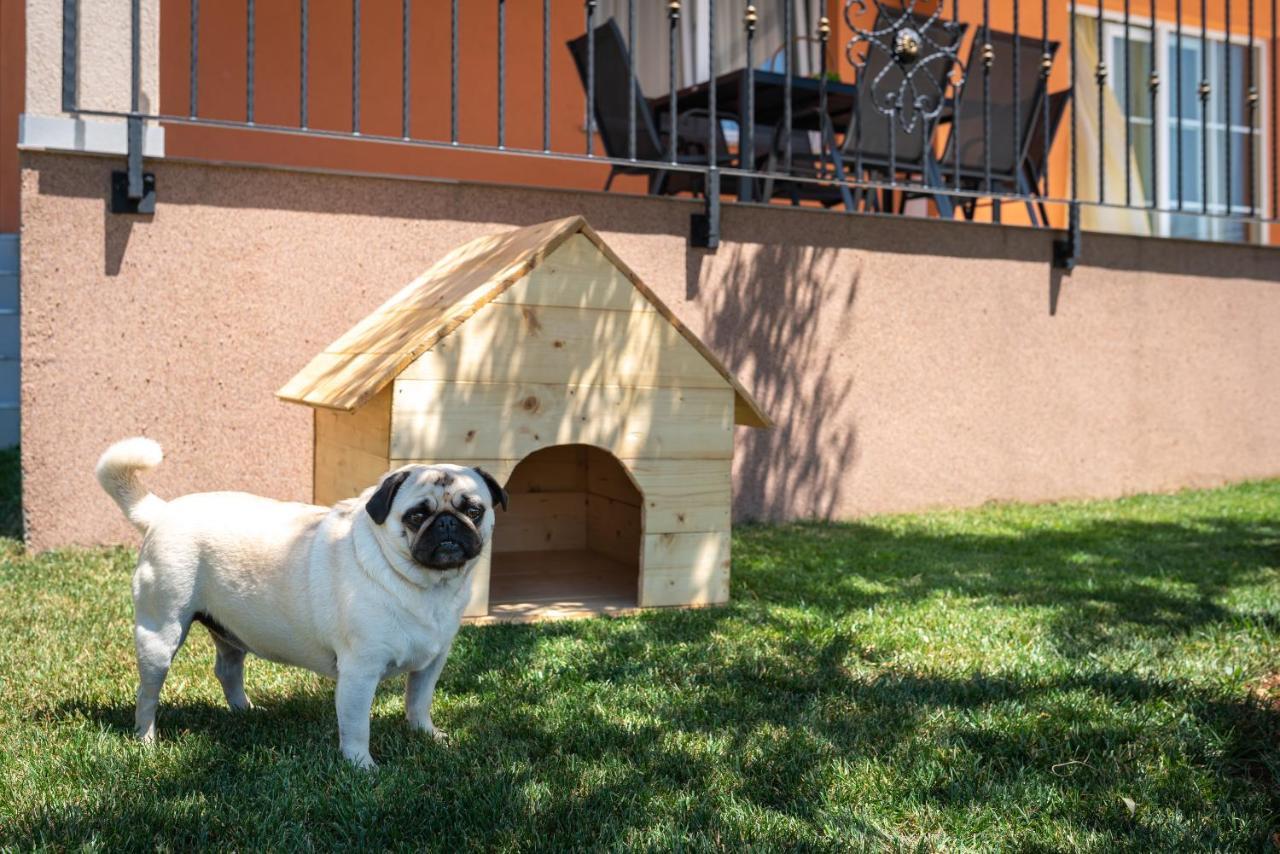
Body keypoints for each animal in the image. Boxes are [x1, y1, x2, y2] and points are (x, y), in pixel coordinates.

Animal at [96, 440, 504, 768]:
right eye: (417, 515)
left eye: (474, 510)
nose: (448, 523)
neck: (426, 585)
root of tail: (162, 512)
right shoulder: (360, 672)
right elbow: (356, 727)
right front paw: (362, 767)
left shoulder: (431, 663)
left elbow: (418, 703)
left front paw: (427, 736)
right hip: (160, 634)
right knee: (148, 694)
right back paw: (147, 740)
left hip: (229, 631)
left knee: (228, 670)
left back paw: (245, 712)